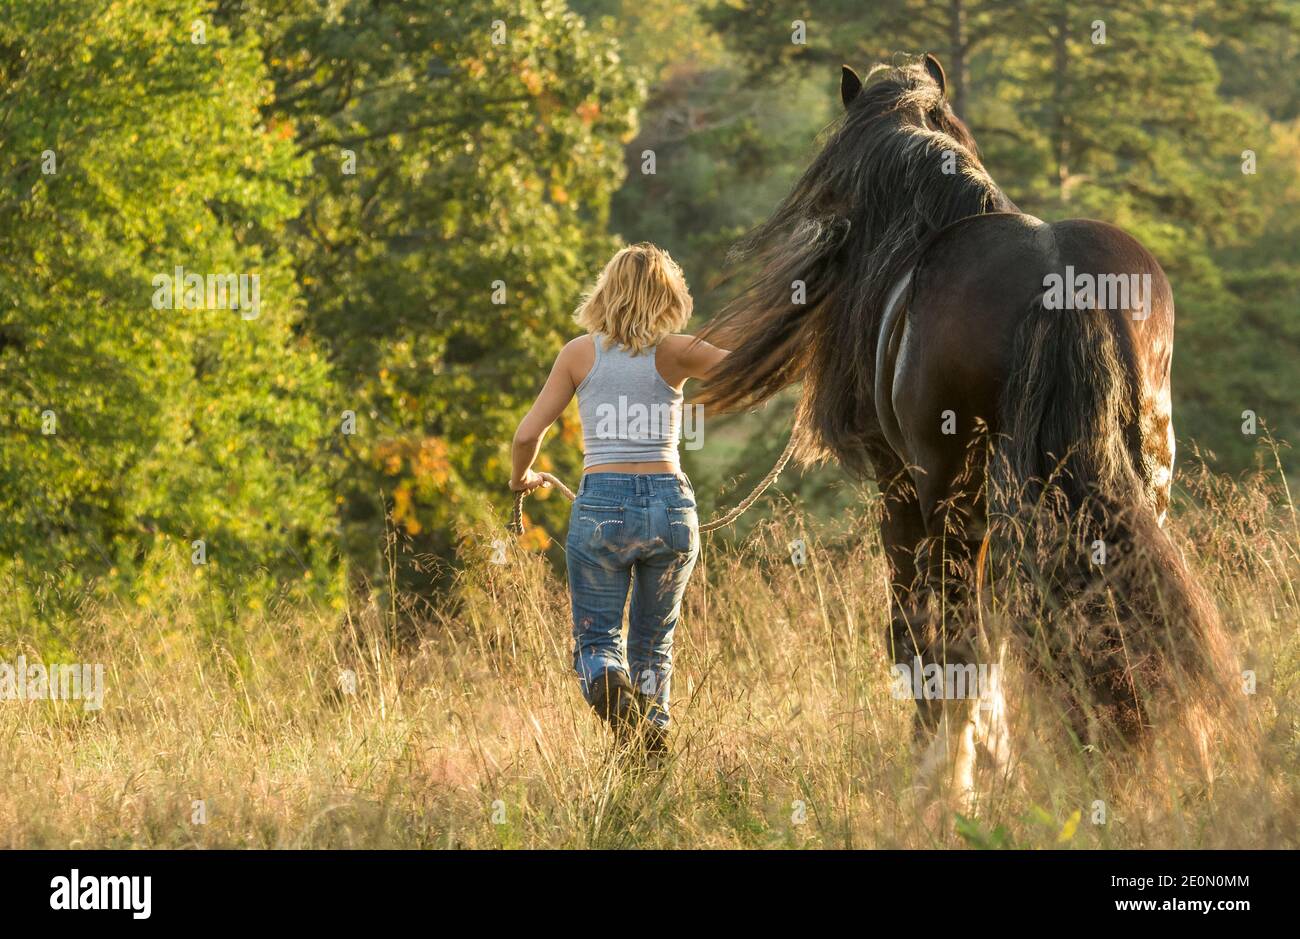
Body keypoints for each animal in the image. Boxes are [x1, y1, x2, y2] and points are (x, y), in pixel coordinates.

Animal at [697, 54, 1235, 799]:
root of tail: (1062, 280)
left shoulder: (900, 491)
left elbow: (917, 634)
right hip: (1141, 479)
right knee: (1146, 604)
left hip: (952, 496)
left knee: (957, 636)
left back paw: (952, 784)